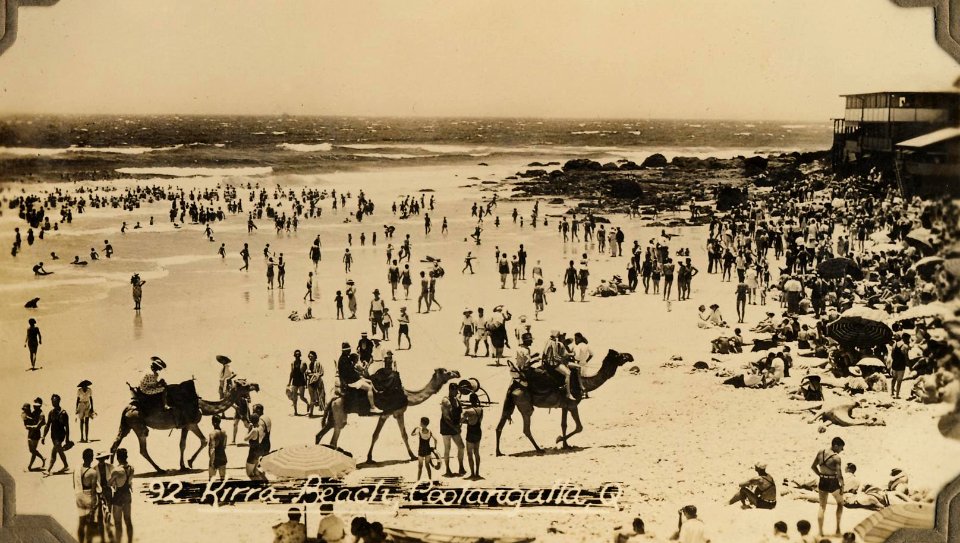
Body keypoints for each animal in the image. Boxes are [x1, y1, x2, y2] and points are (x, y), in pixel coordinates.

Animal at [110, 378, 258, 472]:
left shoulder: (186, 426)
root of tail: (127, 408)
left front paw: (184, 465)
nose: (256, 385)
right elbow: (199, 441)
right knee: (142, 448)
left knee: (116, 444)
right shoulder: (190, 423)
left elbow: (186, 444)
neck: (202, 406)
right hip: (138, 424)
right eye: (244, 384)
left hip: (127, 425)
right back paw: (160, 469)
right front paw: (188, 463)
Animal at [316, 368, 462, 462]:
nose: (457, 372)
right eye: (446, 372)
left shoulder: (393, 414)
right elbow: (385, 435)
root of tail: (334, 399)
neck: (407, 396)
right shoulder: (392, 413)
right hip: (339, 412)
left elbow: (397, 435)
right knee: (334, 438)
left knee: (320, 434)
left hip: (334, 415)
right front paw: (412, 456)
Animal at [498, 348, 632, 454]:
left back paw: (499, 452)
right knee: (526, 428)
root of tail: (514, 384)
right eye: (619, 355)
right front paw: (558, 439)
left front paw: (566, 445)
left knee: (501, 423)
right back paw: (539, 449)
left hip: (510, 402)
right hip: (525, 404)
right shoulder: (573, 405)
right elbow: (579, 427)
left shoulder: (565, 406)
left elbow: (564, 425)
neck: (583, 383)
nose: (630, 356)